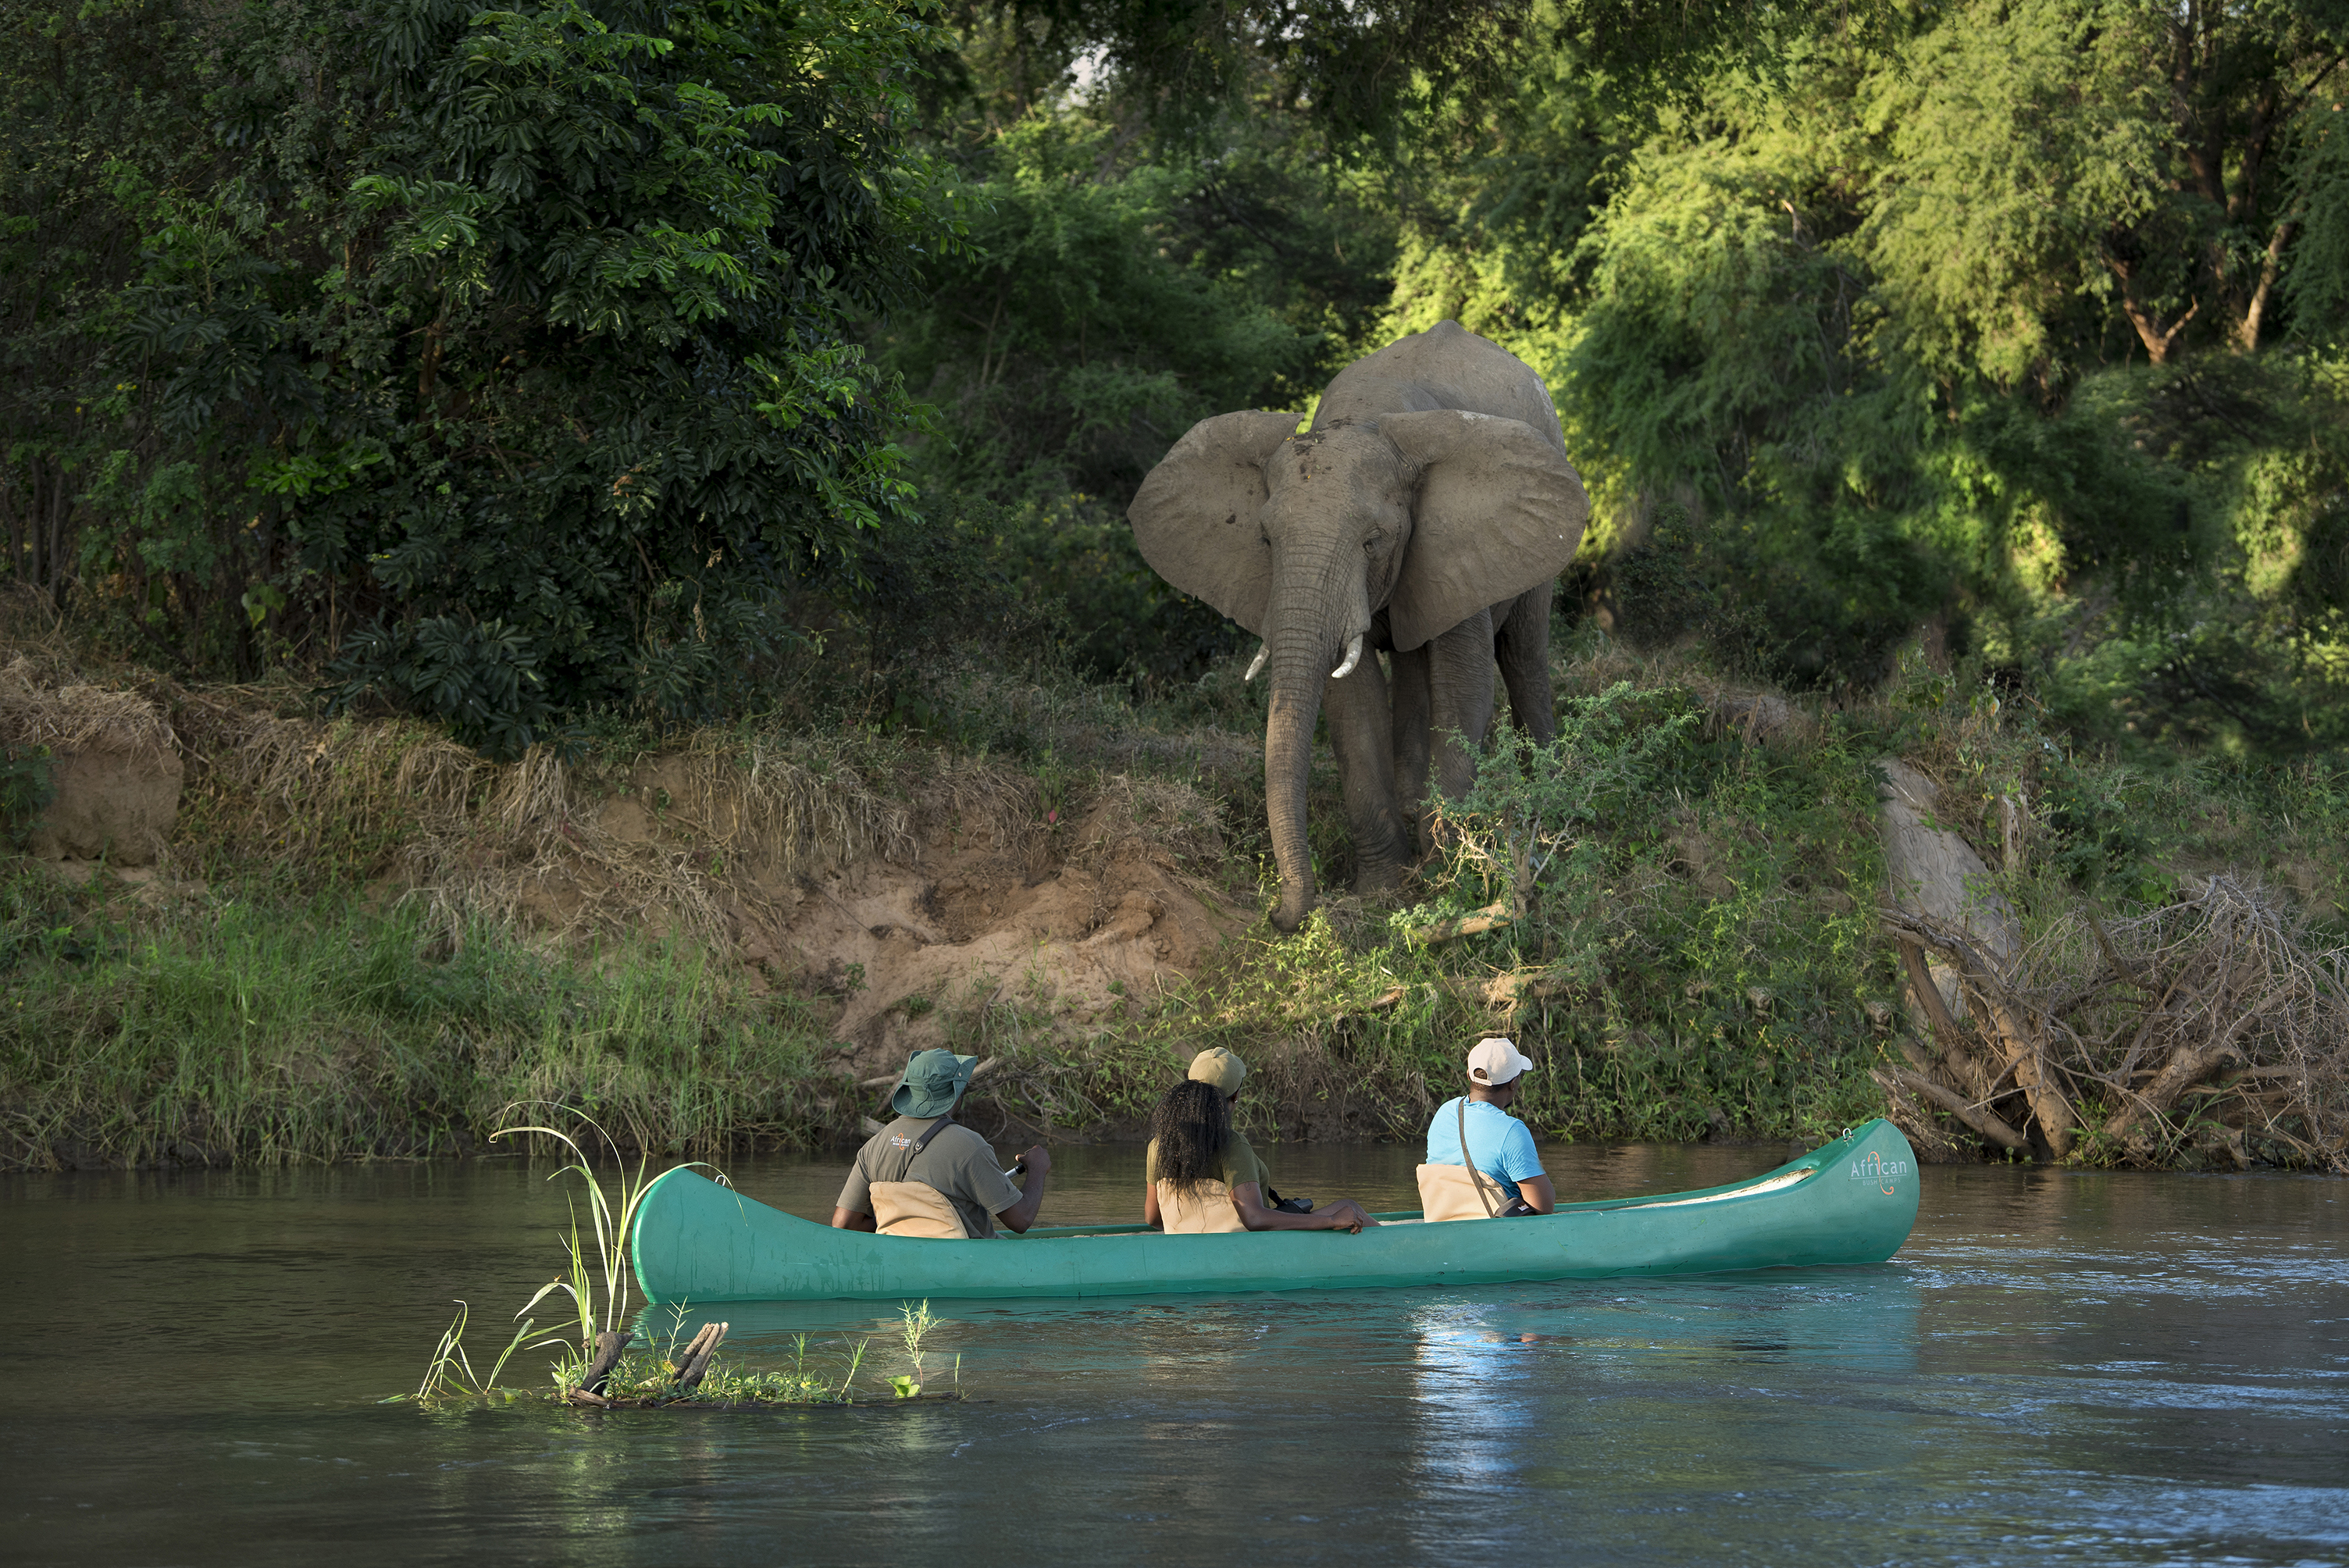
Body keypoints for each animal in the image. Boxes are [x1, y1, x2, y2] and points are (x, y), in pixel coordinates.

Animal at [1128, 320, 1591, 933]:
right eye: (1266, 541)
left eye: (1373, 541)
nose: (1277, 914)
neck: (1366, 419)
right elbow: (1353, 699)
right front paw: (1383, 891)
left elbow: (1463, 684)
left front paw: (1444, 880)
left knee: (1521, 654)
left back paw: (1549, 809)